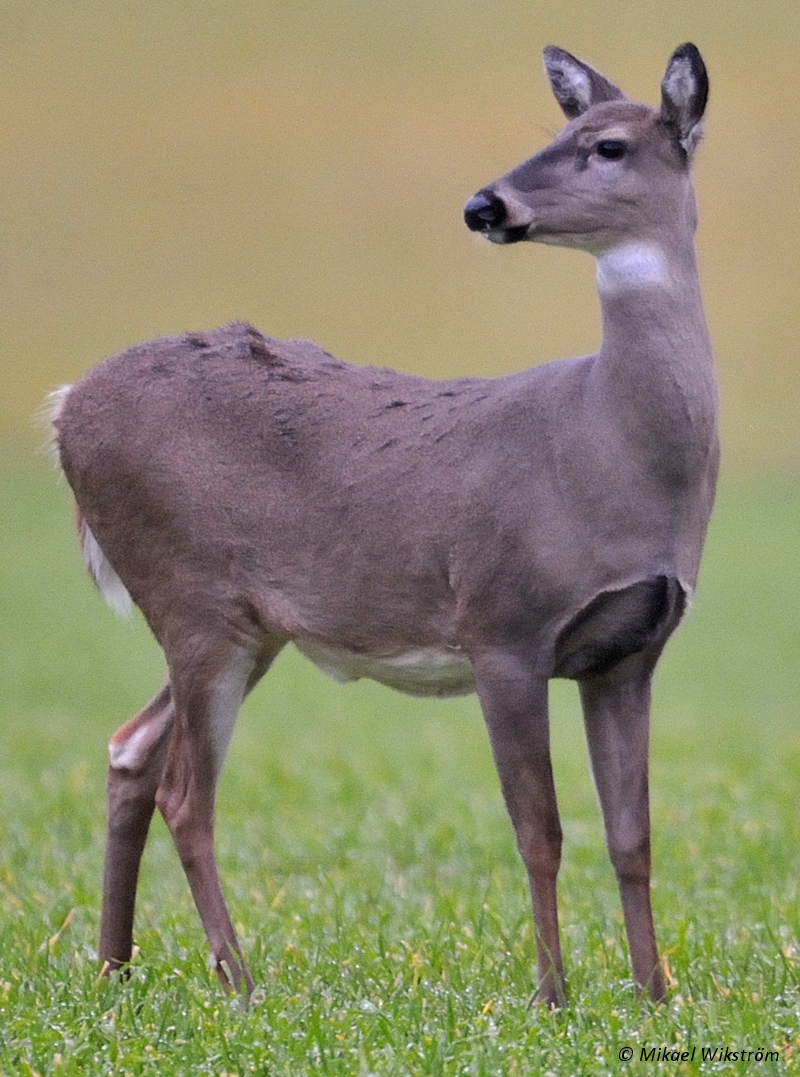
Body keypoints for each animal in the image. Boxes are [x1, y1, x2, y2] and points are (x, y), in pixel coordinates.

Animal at [48, 39, 719, 999]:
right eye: (559, 131)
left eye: (609, 146)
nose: (485, 205)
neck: (607, 451)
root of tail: (65, 409)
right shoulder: (502, 624)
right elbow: (540, 831)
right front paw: (553, 997)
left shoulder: (630, 652)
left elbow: (633, 836)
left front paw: (655, 996)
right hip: (191, 594)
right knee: (186, 792)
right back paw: (239, 981)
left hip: (246, 624)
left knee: (130, 749)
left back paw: (114, 968)